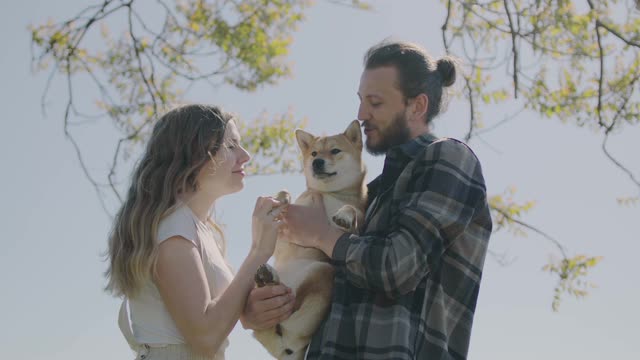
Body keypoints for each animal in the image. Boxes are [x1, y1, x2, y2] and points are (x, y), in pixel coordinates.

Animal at [254, 120, 368, 360]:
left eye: (335, 150)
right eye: (314, 153)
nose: (316, 162)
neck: (329, 194)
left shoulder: (360, 224)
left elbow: (352, 209)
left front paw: (344, 215)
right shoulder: (283, 231)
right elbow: (285, 193)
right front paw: (278, 199)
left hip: (322, 271)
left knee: (289, 304)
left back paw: (272, 281)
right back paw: (266, 279)